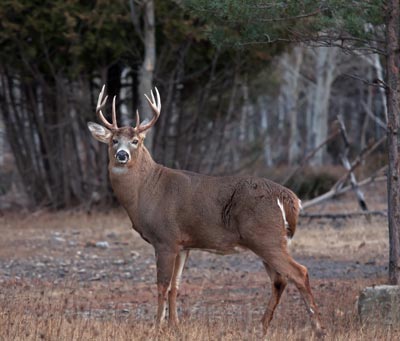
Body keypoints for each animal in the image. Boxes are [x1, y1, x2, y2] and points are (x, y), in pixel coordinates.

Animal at [87, 85, 324, 334]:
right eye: (114, 140)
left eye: (135, 141)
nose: (122, 155)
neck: (146, 190)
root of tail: (289, 198)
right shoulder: (183, 244)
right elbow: (175, 286)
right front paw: (175, 325)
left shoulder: (165, 239)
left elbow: (162, 284)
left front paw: (156, 326)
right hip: (270, 240)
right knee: (280, 279)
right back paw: (262, 326)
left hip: (265, 237)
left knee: (299, 273)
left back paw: (317, 327)